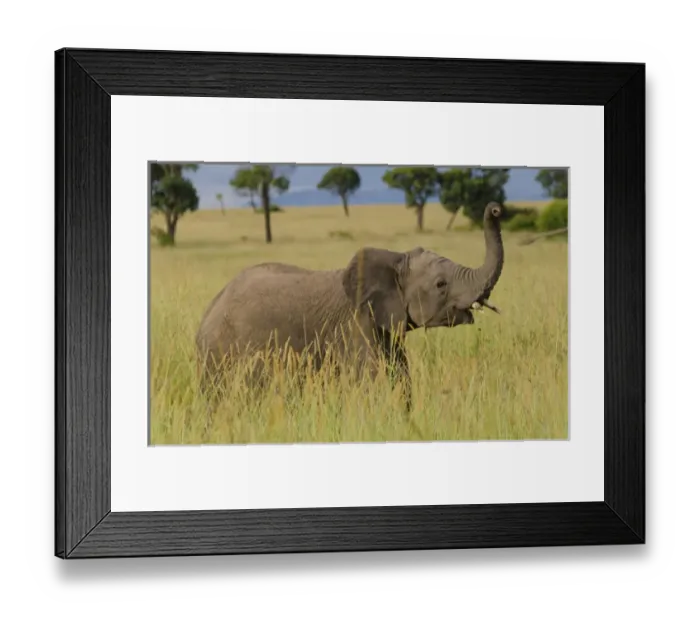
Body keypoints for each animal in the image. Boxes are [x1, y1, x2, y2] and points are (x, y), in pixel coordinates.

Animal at [195, 201, 505, 419]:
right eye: (441, 284)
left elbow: (399, 376)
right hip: (221, 355)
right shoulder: (353, 328)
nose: (495, 209)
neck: (394, 258)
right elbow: (370, 382)